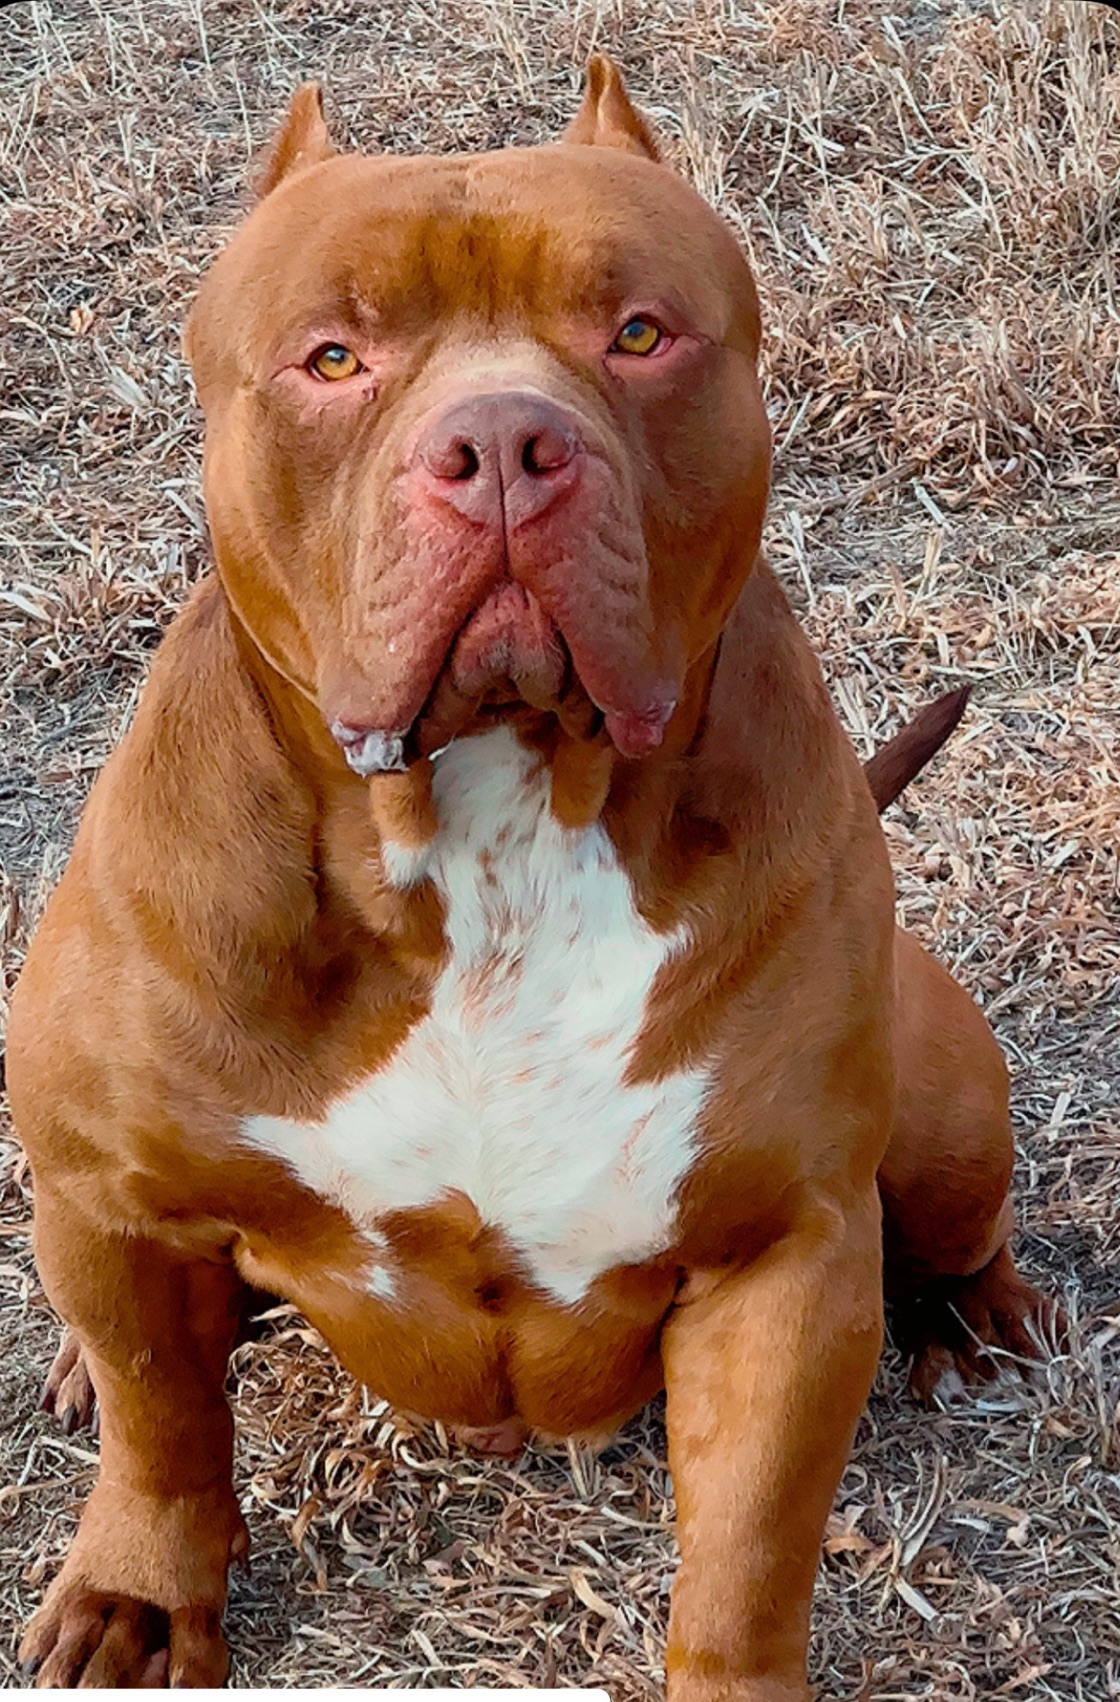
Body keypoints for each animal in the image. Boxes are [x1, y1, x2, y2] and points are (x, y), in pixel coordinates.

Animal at [11, 60, 1050, 1696]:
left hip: (943, 1100)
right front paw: (137, 1591)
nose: (502, 441)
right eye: (332, 358)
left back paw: (983, 1317)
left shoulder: (785, 1256)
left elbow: (753, 1546)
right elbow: (161, 1423)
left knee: (962, 1214)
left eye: (638, 333)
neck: (490, 835)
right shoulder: (107, 1203)